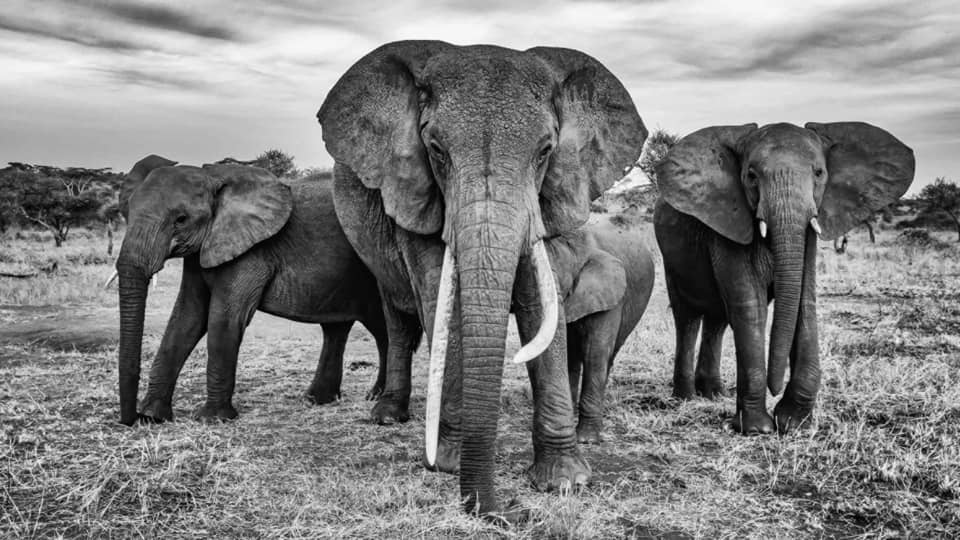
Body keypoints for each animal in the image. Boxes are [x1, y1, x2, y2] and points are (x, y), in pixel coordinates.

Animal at [115, 155, 391, 425]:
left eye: (181, 219)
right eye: (126, 212)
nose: (131, 420)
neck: (212, 177)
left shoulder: (252, 251)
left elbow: (223, 319)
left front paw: (212, 419)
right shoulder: (202, 250)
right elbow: (187, 318)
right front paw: (153, 415)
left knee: (382, 325)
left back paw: (376, 399)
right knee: (338, 328)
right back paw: (319, 400)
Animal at [653, 122, 915, 435]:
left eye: (819, 173)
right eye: (751, 176)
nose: (775, 389)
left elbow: (804, 302)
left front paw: (793, 423)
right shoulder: (729, 222)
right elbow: (749, 307)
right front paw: (758, 428)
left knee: (717, 320)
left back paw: (714, 394)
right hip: (672, 259)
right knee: (688, 317)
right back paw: (686, 397)